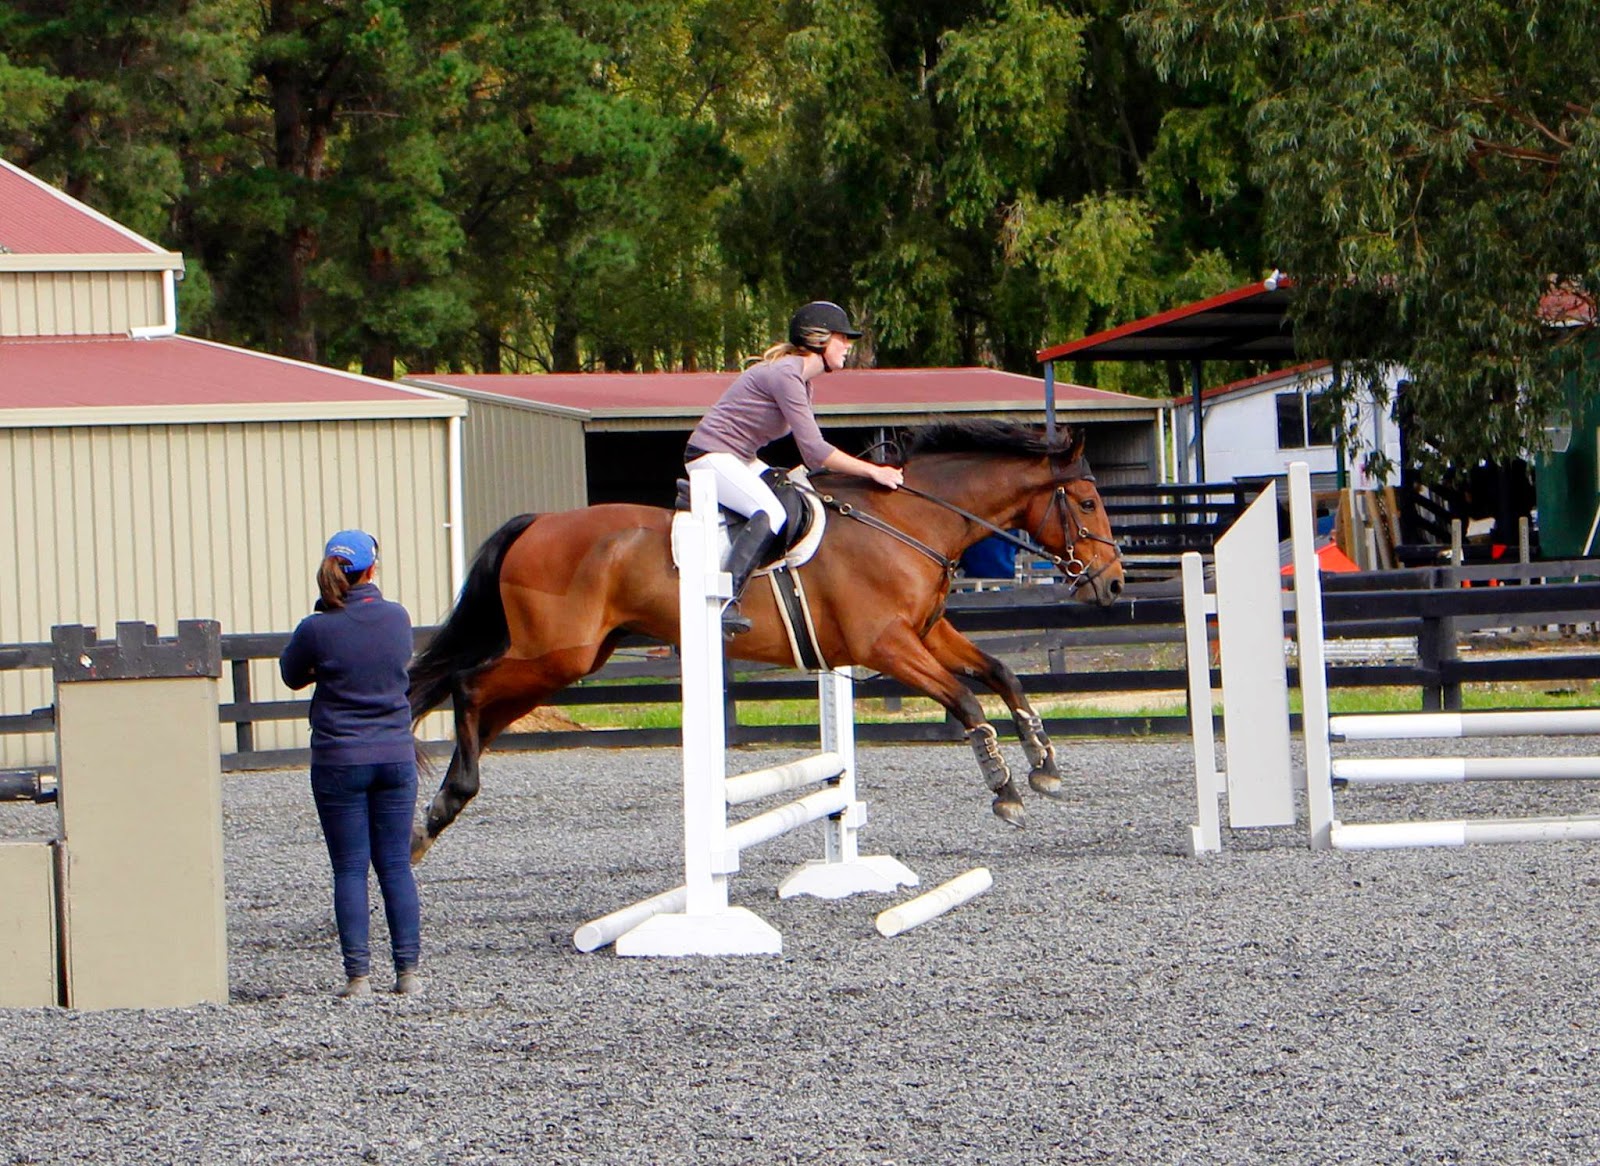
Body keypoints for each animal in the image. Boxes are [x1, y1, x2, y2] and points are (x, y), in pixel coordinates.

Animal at [407, 418, 1124, 863]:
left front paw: (1044, 766)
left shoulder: (926, 632)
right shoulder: (887, 647)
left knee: (481, 702)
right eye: (1088, 503)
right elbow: (966, 701)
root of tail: (536, 523)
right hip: (558, 654)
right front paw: (1004, 791)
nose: (1114, 584)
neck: (905, 519)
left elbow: (1003, 674)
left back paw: (439, 810)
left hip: (570, 657)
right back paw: (447, 798)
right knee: (468, 686)